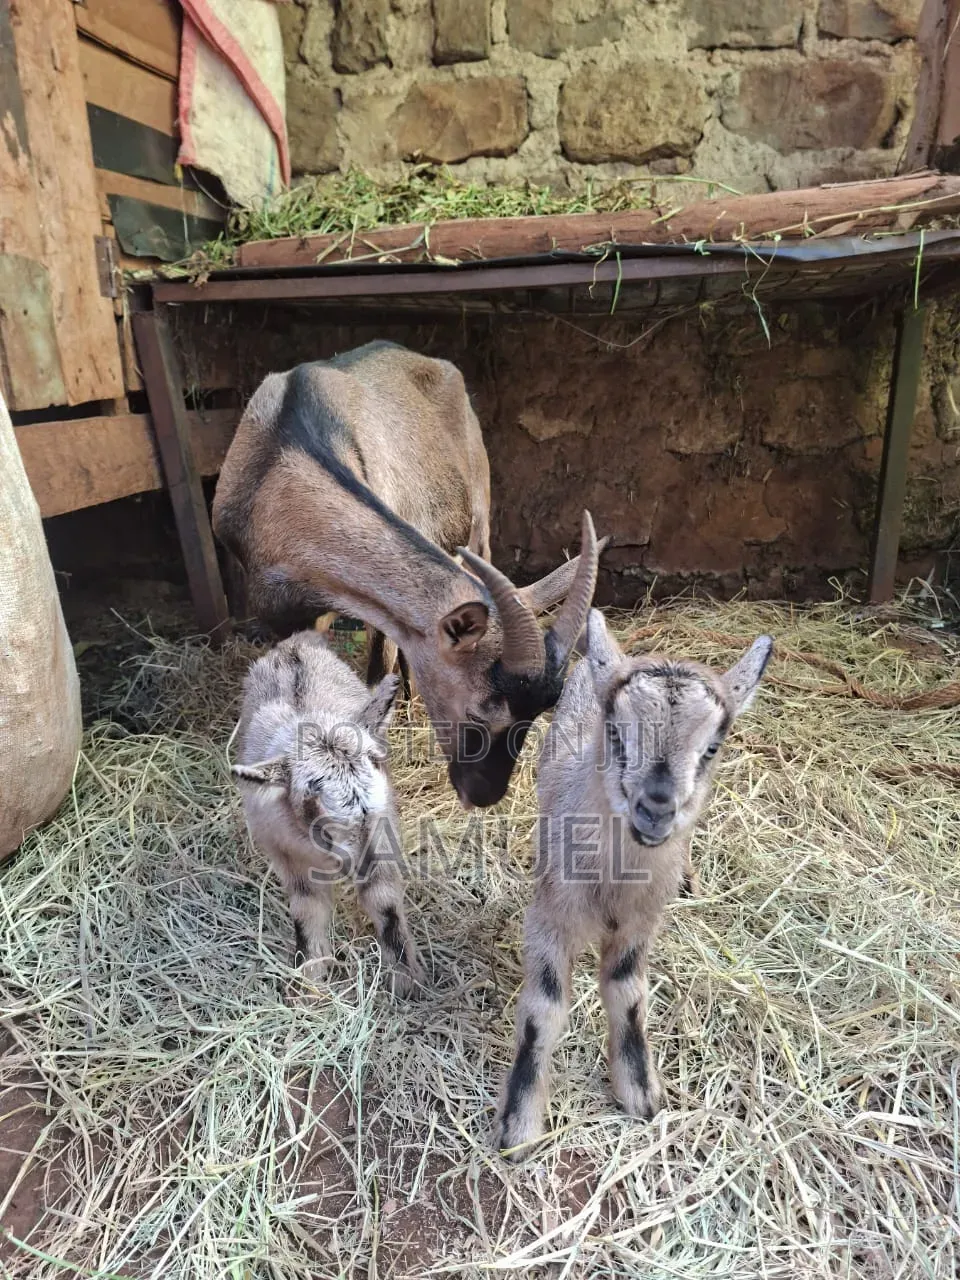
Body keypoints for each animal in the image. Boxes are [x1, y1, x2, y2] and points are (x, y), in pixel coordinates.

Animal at [232, 629, 424, 997]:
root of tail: (296, 642)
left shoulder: (381, 837)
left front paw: (405, 982)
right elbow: (307, 913)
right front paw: (309, 982)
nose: (361, 866)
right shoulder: (288, 856)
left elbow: (385, 904)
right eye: (314, 806)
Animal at [497, 610, 773, 1158]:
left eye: (712, 747)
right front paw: (519, 1127)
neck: (613, 886)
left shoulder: (640, 926)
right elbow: (543, 1010)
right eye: (617, 734)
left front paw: (641, 1092)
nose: (656, 808)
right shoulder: (549, 918)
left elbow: (627, 996)